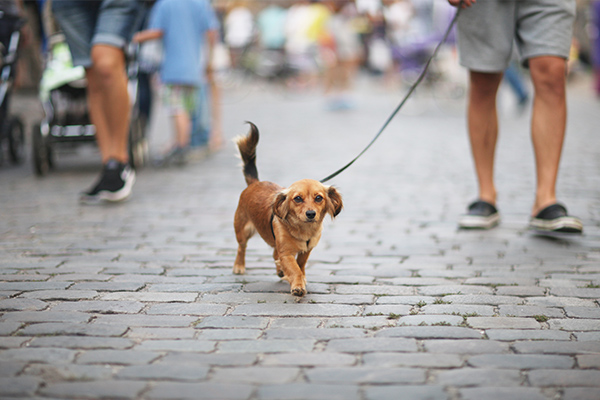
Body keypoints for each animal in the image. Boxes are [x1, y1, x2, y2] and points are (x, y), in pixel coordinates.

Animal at [233, 123, 340, 296]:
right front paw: (297, 286)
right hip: (243, 230)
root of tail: (255, 182)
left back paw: (280, 271)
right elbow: (294, 268)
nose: (311, 214)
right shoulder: (286, 252)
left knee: (273, 254)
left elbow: (300, 265)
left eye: (319, 198)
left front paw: (300, 278)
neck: (303, 229)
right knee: (241, 248)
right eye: (297, 198)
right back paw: (239, 266)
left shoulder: (306, 250)